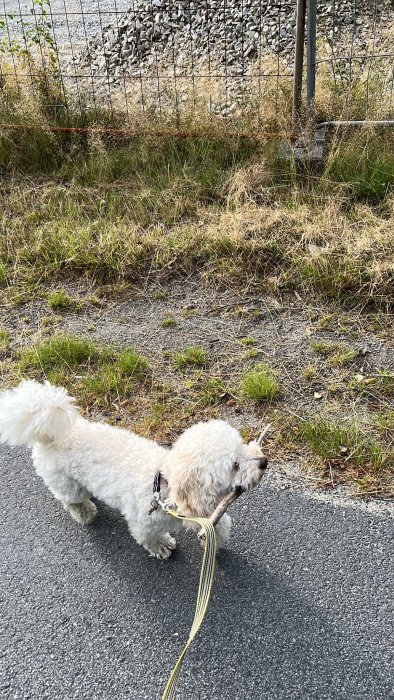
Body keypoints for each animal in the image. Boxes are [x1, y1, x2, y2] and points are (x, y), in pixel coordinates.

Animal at [0, 380, 268, 560]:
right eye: (234, 465)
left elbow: (217, 525)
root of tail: (49, 435)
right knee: (72, 500)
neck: (165, 485)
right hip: (65, 483)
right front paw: (162, 547)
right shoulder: (143, 522)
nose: (263, 462)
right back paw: (85, 512)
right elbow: (148, 537)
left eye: (243, 445)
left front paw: (216, 539)